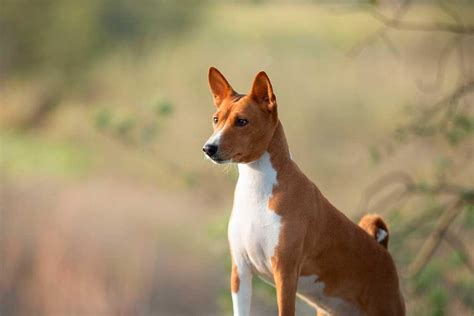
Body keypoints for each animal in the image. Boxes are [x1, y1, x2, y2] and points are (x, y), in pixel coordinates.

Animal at [202, 67, 406, 316]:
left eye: (242, 121)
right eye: (216, 119)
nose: (209, 148)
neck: (258, 191)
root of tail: (382, 250)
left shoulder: (285, 272)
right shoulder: (240, 271)